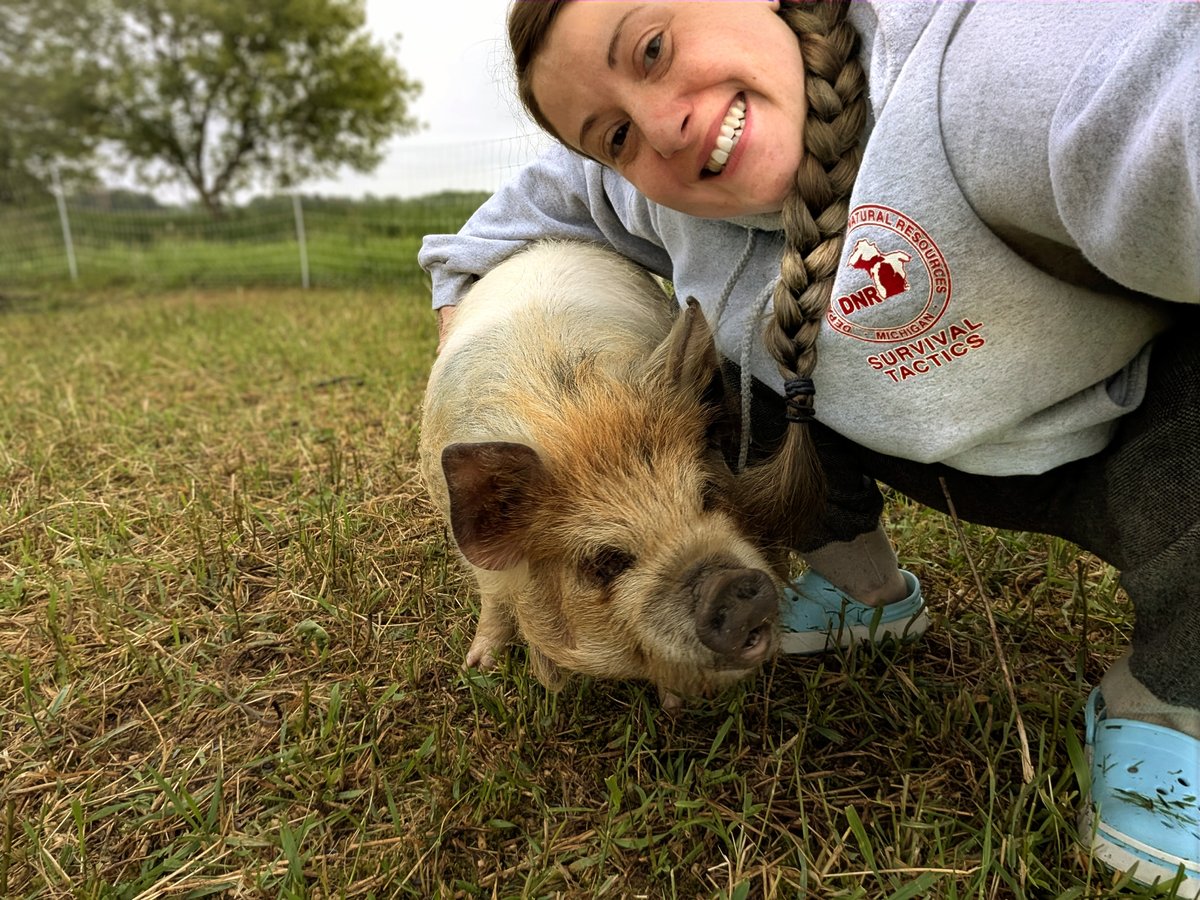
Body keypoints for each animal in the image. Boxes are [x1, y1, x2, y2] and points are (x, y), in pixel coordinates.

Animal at [419, 241, 787, 702]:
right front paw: (479, 666)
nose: (729, 585)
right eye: (606, 562)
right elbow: (494, 601)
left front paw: (674, 704)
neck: (577, 411)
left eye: (707, 495)